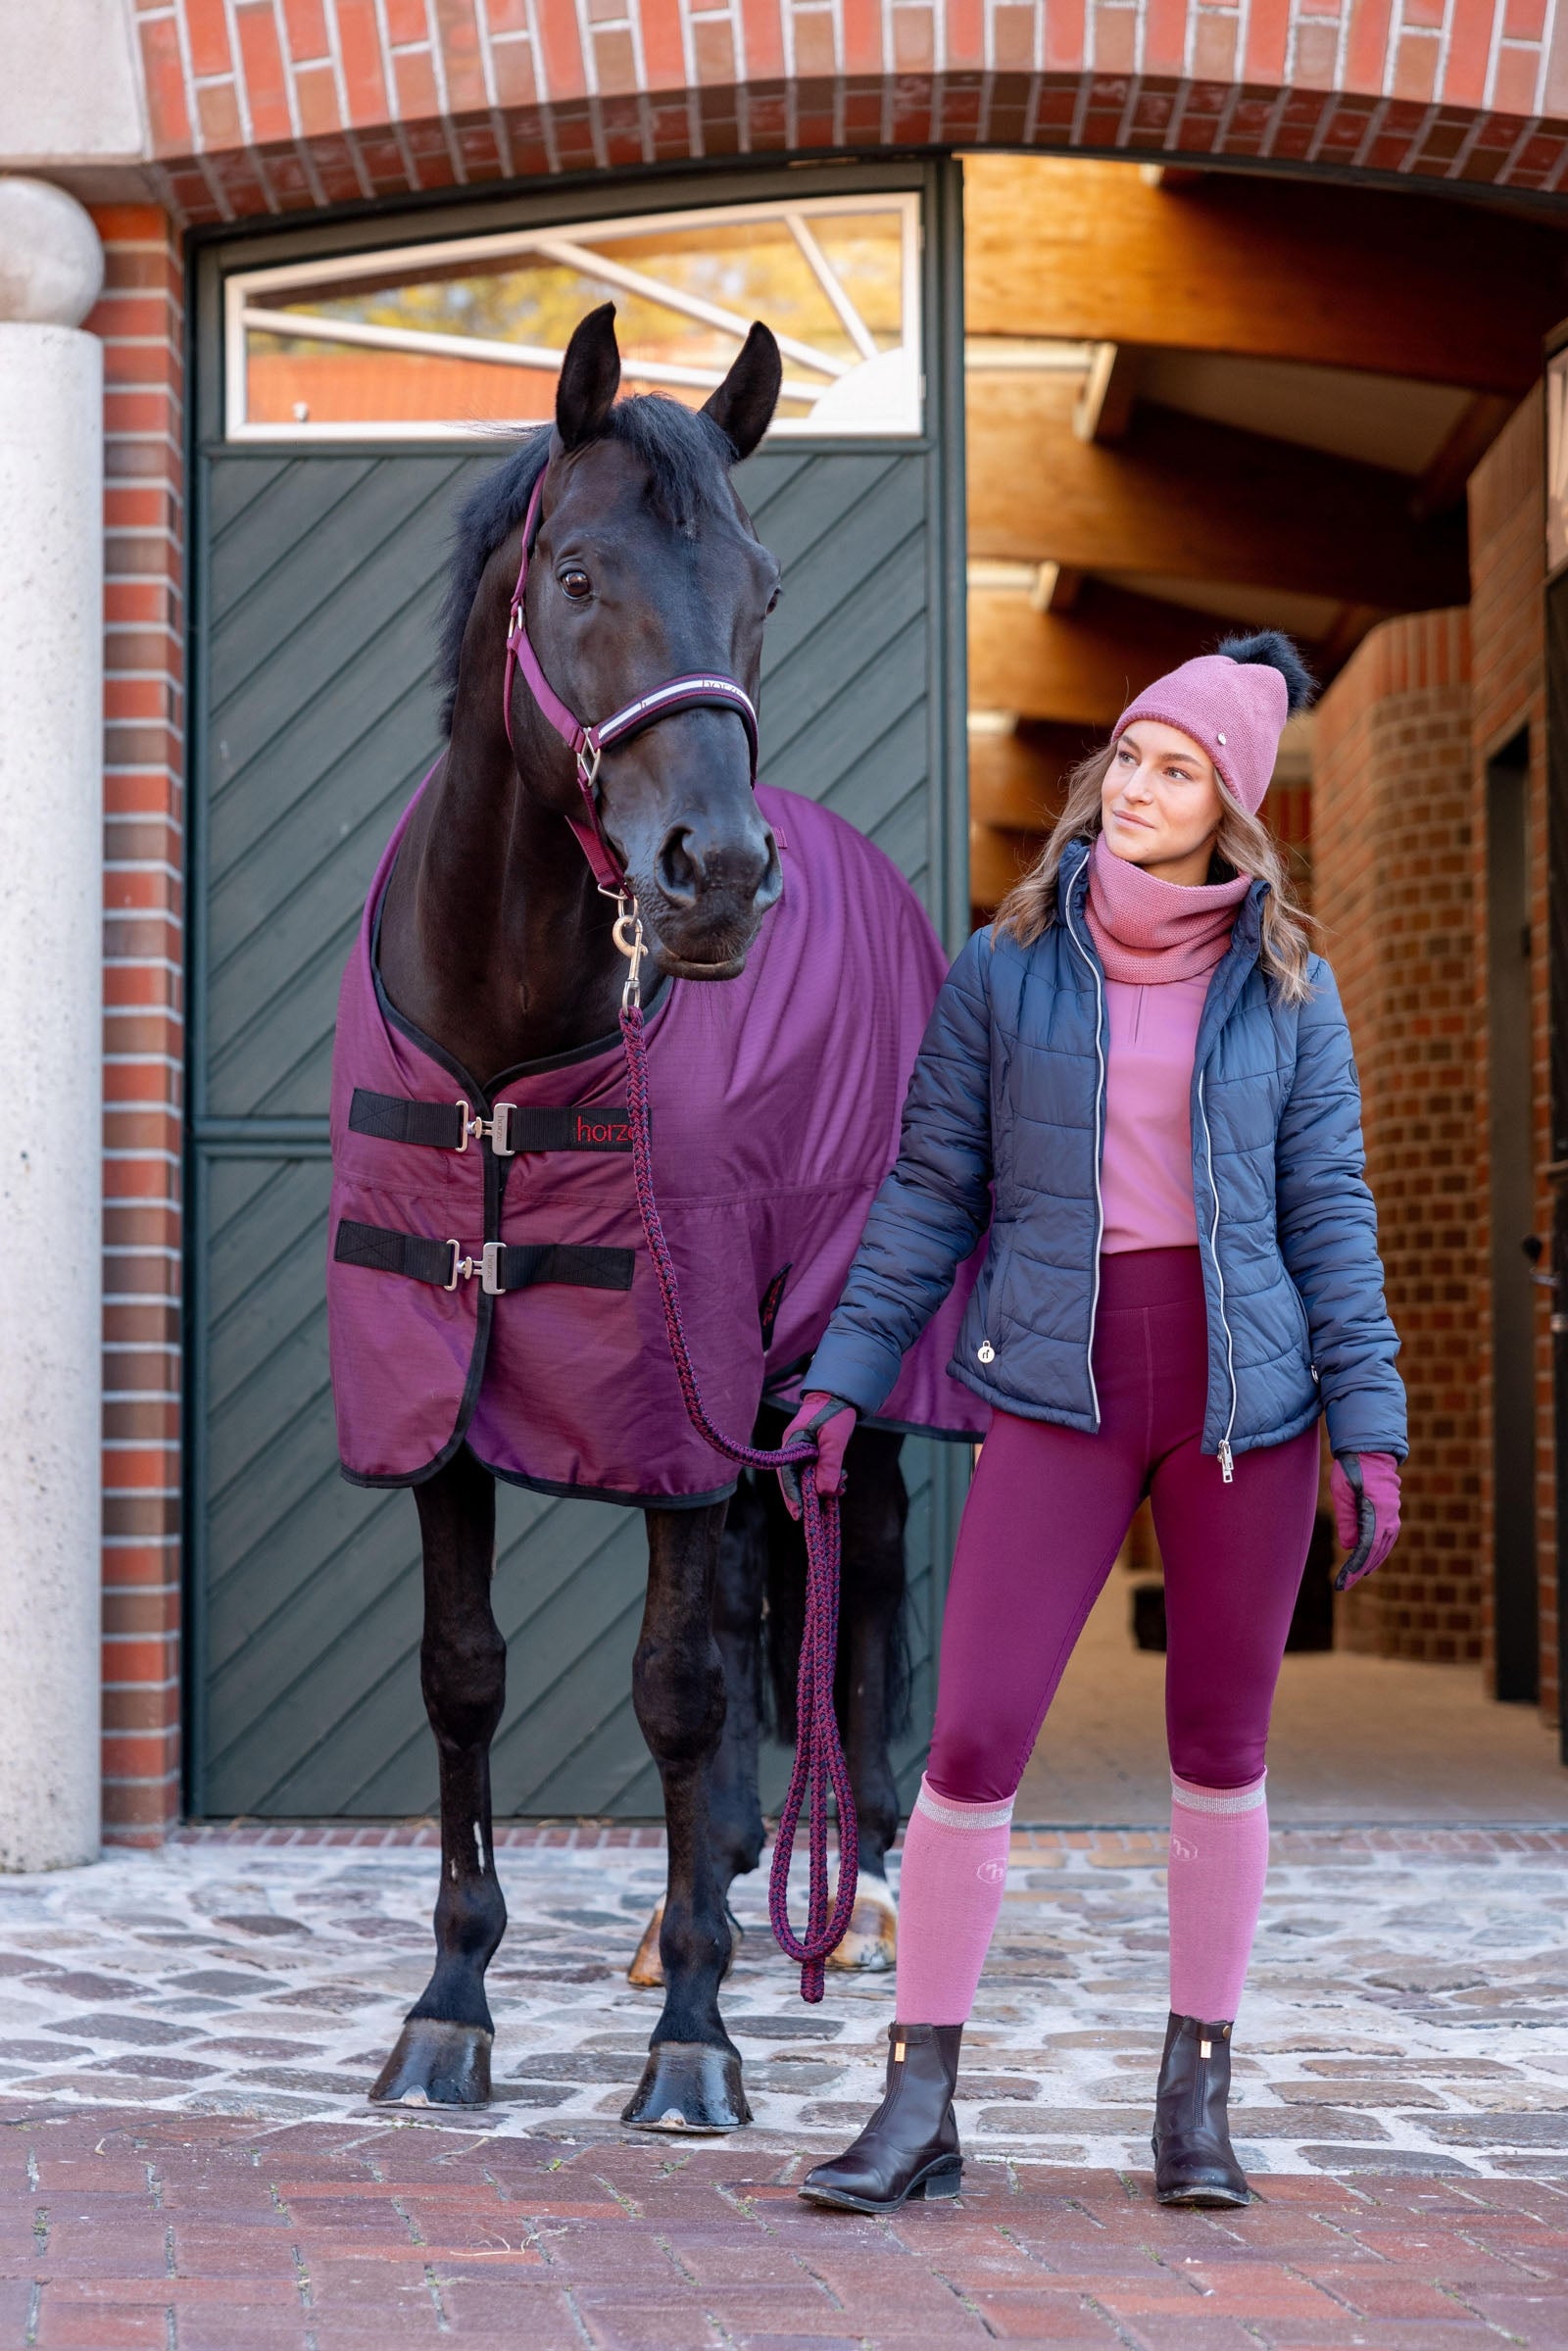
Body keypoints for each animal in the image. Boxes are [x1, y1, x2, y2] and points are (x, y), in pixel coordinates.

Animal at [327, 303, 981, 2132]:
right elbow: (461, 1670)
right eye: (575, 571)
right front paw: (449, 2006)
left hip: (835, 1361)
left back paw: (859, 1885)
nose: (719, 874)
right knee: (767, 1589)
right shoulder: (443, 1393)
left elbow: (682, 1682)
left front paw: (697, 2036)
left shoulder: (672, 1400)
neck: (507, 1033)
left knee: (858, 1577)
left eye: (759, 584)